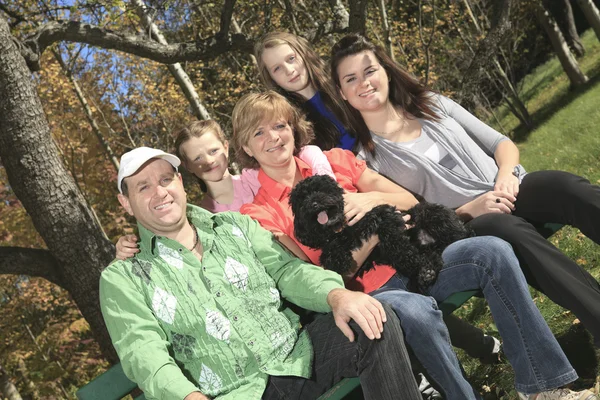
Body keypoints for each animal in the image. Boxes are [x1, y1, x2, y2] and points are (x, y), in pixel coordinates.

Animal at [290, 175, 474, 294]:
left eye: (322, 190)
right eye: (302, 200)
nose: (314, 203)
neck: (341, 226)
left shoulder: (386, 215)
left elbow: (394, 240)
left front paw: (408, 256)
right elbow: (331, 249)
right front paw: (338, 260)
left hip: (432, 214)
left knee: (461, 234)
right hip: (428, 249)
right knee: (435, 257)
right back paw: (425, 273)